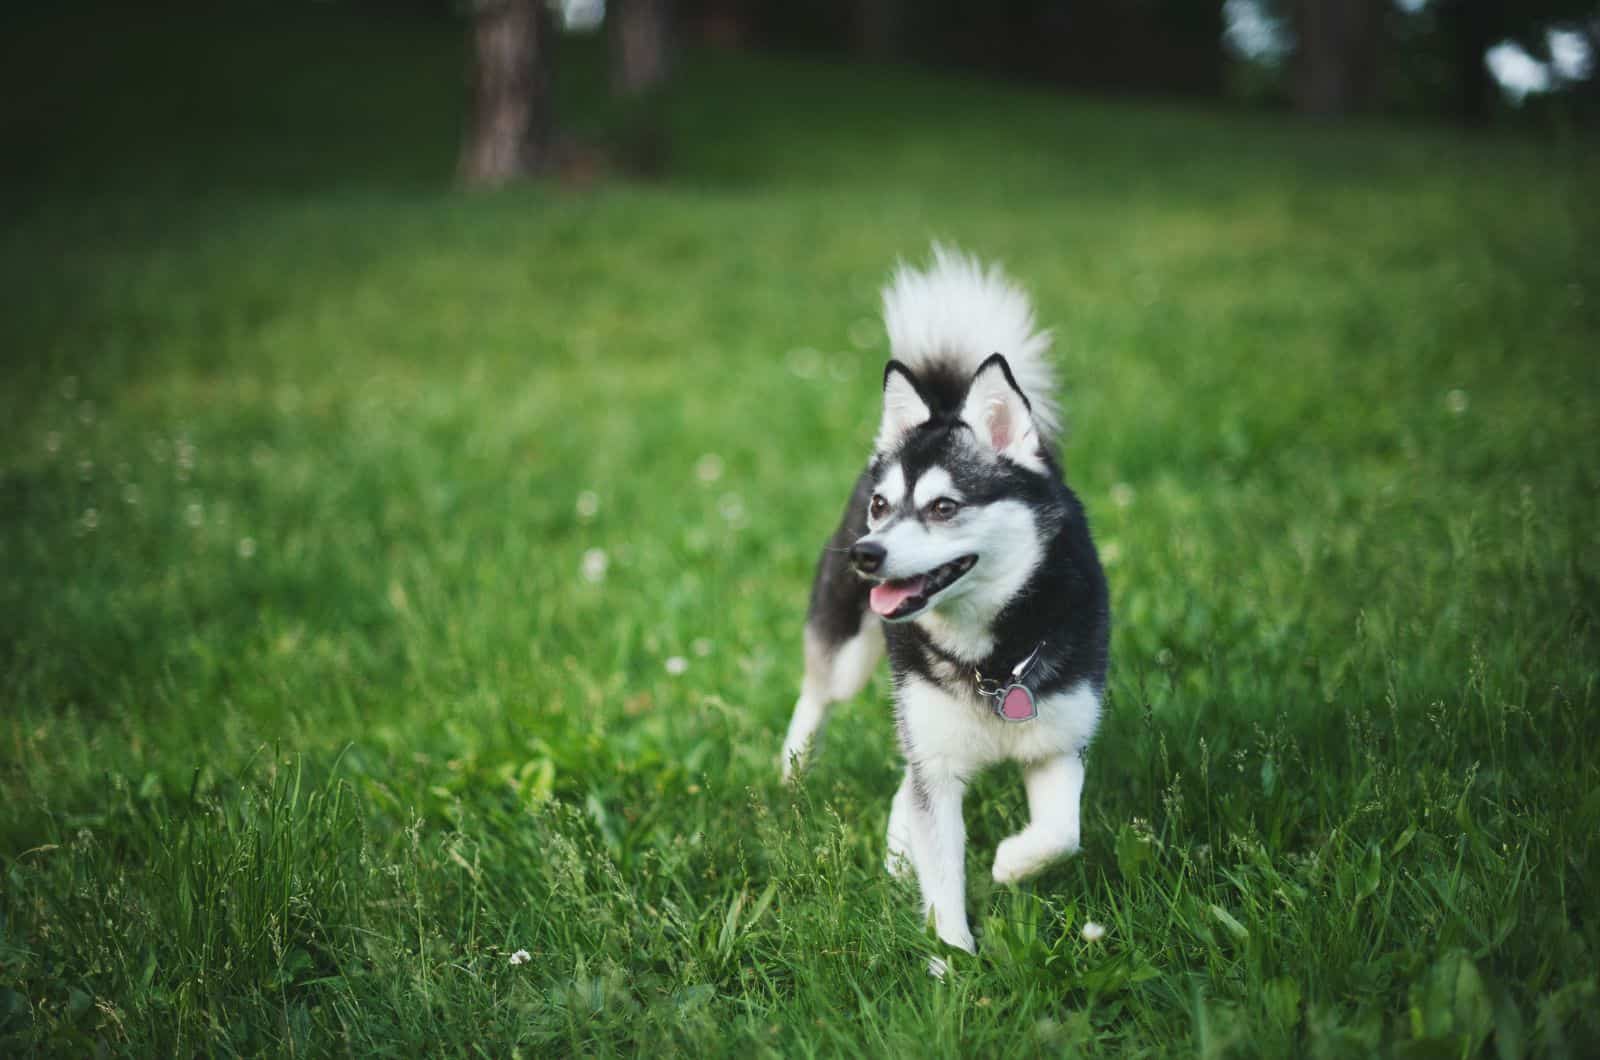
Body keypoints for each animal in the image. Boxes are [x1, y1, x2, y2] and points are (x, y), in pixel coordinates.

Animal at [777, 246, 1107, 960]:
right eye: (883, 505)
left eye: (944, 507)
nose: (866, 554)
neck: (993, 658)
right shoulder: (939, 756)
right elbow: (943, 862)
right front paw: (953, 962)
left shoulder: (1058, 740)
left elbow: (1062, 836)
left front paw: (1011, 863)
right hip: (853, 654)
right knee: (821, 694)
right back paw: (791, 771)